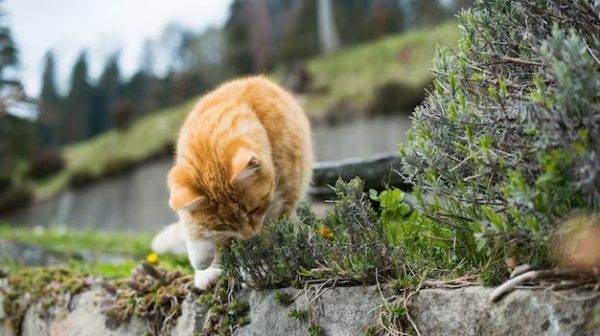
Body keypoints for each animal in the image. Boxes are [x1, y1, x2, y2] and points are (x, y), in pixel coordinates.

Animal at [166, 75, 312, 288]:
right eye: (223, 225)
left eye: (255, 210)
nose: (248, 235)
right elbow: (193, 227)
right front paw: (203, 261)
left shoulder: (282, 201)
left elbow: (265, 240)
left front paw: (256, 268)